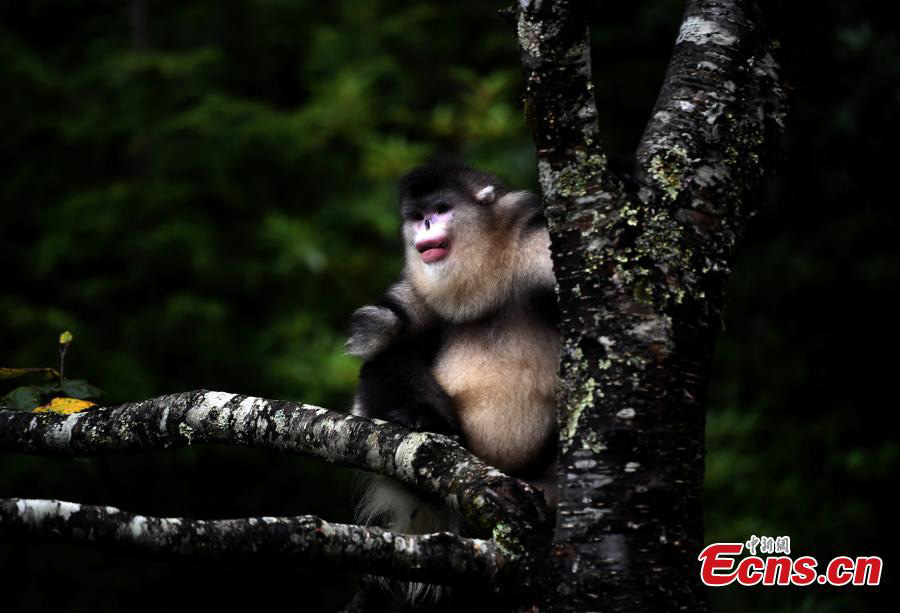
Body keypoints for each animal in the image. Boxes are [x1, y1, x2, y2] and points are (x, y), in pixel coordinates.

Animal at [345, 159, 560, 601]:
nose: (426, 223)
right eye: (416, 216)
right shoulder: (416, 297)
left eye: (441, 209)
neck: (489, 278)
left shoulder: (534, 250)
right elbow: (385, 343)